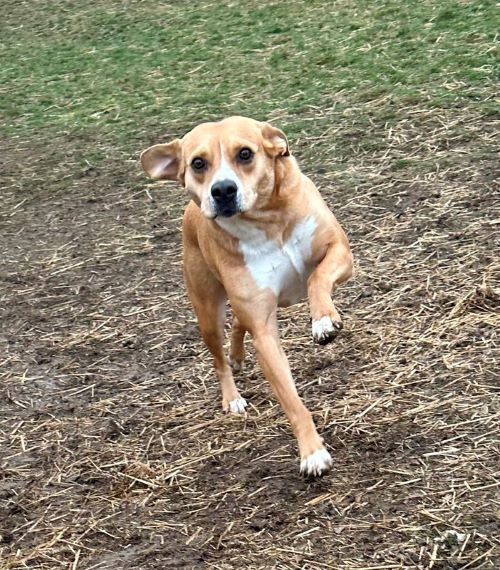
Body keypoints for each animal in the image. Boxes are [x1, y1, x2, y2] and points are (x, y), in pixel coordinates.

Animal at [139, 116, 354, 474]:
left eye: (245, 154)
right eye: (198, 163)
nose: (223, 190)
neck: (265, 222)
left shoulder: (339, 252)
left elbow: (317, 278)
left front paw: (323, 320)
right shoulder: (263, 329)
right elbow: (291, 400)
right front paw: (312, 453)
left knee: (239, 324)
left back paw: (239, 355)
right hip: (207, 311)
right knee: (219, 356)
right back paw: (232, 395)